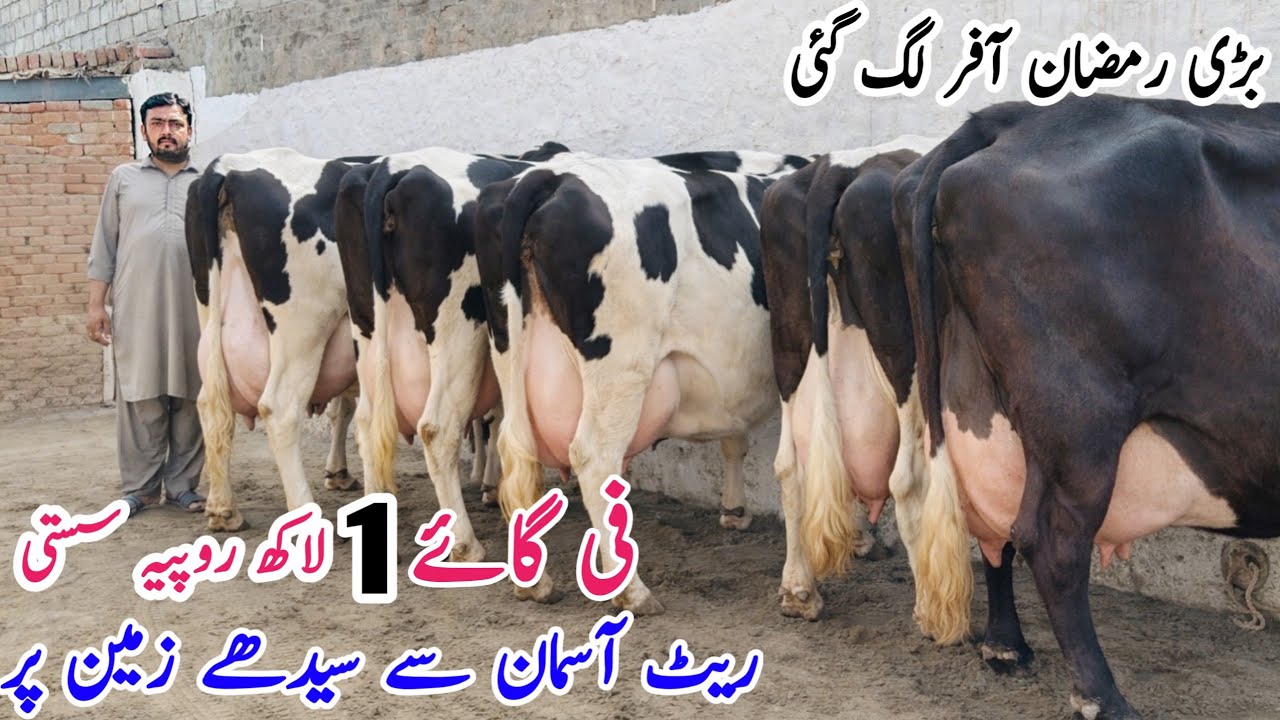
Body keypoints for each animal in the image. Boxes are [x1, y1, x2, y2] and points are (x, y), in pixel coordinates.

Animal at [186, 148, 377, 531]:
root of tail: (229, 167)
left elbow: (345, 407)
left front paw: (339, 472)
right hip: (305, 325)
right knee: (279, 409)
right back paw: (304, 512)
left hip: (210, 317)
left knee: (210, 405)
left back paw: (223, 510)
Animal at [332, 142, 567, 562]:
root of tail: (391, 168)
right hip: (458, 331)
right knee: (437, 427)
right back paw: (466, 544)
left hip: (366, 325)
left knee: (367, 421)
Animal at [475, 150, 810, 613]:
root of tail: (551, 177)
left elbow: (735, 439)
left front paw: (734, 510)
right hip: (621, 365)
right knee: (593, 455)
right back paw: (630, 589)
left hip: (509, 349)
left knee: (514, 447)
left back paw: (535, 584)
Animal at [759, 136, 976, 632]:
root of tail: (836, 167)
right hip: (905, 350)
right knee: (907, 478)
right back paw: (931, 609)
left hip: (789, 337)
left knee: (789, 464)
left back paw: (798, 590)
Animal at [893, 93, 1280, 719]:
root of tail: (1015, 118)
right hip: (1079, 421)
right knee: (1051, 542)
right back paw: (1102, 696)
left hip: (980, 405)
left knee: (994, 520)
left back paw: (1006, 646)